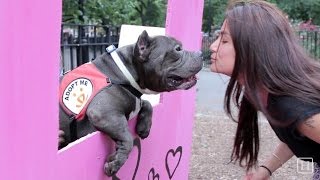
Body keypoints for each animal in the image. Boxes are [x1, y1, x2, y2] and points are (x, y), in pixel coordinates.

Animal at [58, 30, 201, 176]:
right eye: (177, 49)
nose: (200, 53)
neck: (123, 73)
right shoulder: (103, 114)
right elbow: (127, 138)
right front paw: (115, 163)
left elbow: (147, 104)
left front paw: (144, 127)